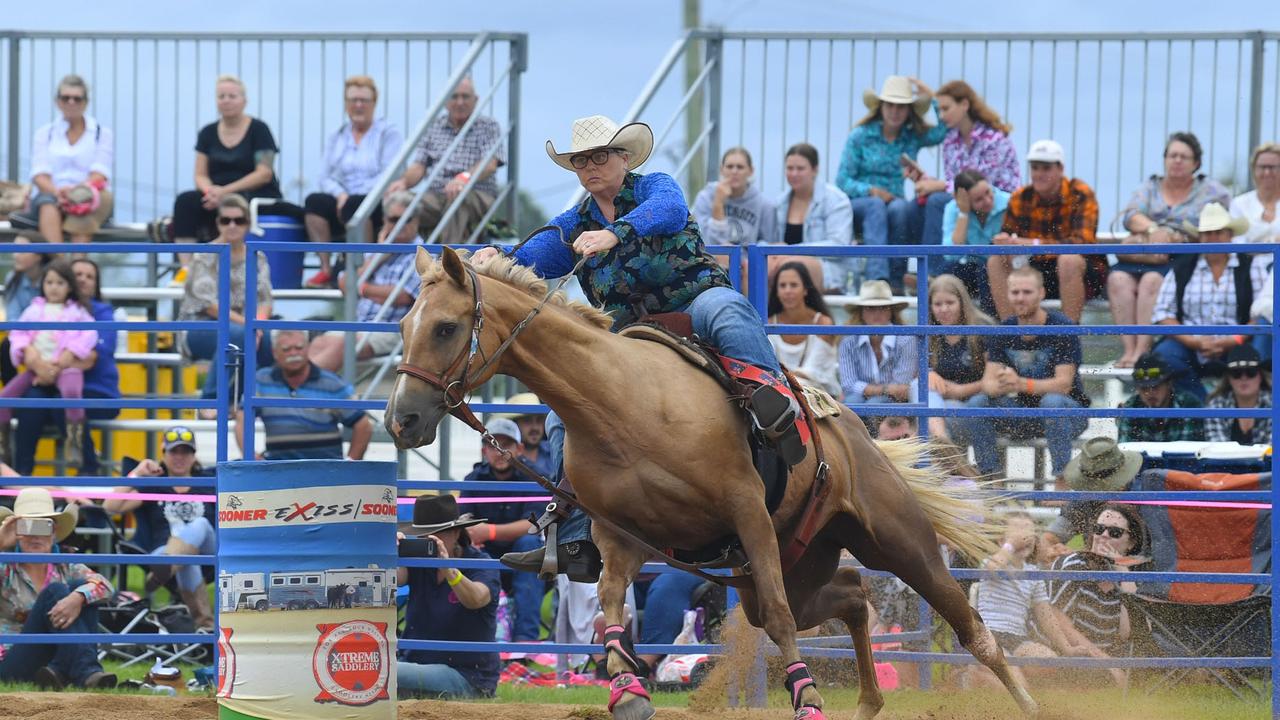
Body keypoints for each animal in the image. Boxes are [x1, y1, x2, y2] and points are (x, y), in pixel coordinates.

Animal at [381, 245, 1039, 717]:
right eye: (406, 324)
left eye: (445, 327)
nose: (401, 419)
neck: (620, 401)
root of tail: (855, 430)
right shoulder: (619, 534)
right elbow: (610, 605)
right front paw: (627, 691)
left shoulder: (746, 510)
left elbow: (778, 619)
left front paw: (807, 700)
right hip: (797, 563)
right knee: (852, 594)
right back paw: (868, 701)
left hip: (896, 541)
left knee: (967, 625)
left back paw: (1027, 702)